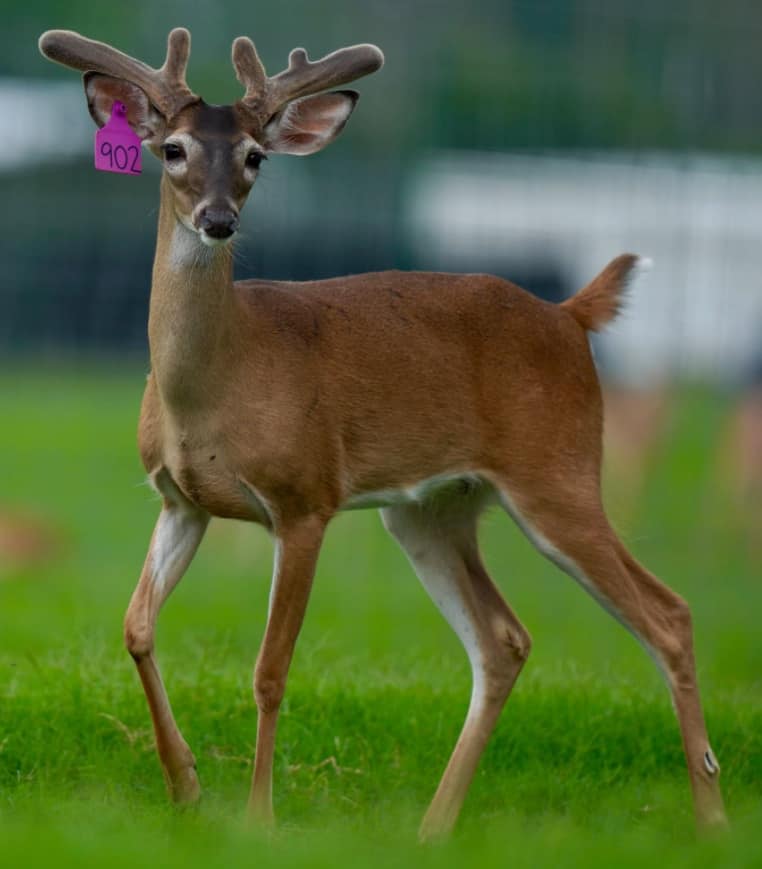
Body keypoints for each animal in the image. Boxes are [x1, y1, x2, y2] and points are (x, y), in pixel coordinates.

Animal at [38, 27, 727, 839]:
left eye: (256, 156)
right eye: (171, 148)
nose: (218, 219)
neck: (213, 385)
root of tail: (570, 314)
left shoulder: (305, 496)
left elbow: (270, 670)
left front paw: (259, 816)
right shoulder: (181, 499)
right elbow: (137, 626)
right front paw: (186, 786)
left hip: (557, 471)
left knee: (669, 614)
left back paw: (711, 818)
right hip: (432, 508)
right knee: (504, 640)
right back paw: (433, 827)